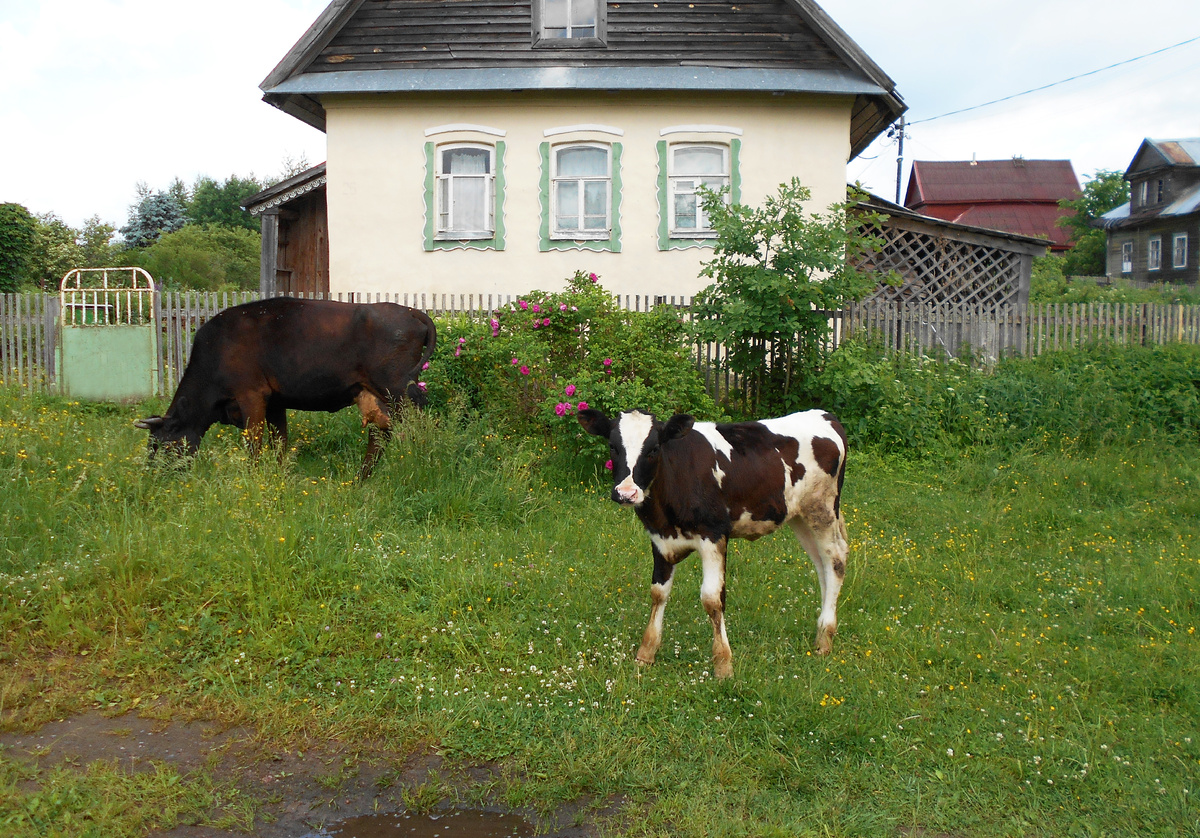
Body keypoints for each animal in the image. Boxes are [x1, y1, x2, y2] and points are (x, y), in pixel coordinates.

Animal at [135, 297, 436, 479]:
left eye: (161, 444)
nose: (154, 476)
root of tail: (412, 312)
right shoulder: (275, 403)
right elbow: (279, 442)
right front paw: (279, 476)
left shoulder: (251, 397)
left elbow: (254, 443)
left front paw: (254, 478)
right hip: (377, 397)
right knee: (380, 436)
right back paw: (361, 479)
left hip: (399, 390)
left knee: (420, 426)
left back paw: (423, 464)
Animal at [578, 407, 849, 680]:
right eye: (613, 446)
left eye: (654, 448)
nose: (626, 493)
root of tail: (824, 415)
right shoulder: (659, 539)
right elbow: (658, 593)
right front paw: (646, 653)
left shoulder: (714, 534)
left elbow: (712, 599)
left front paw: (723, 664)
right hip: (800, 517)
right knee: (821, 565)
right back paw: (821, 632)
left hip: (822, 509)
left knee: (835, 560)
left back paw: (825, 638)